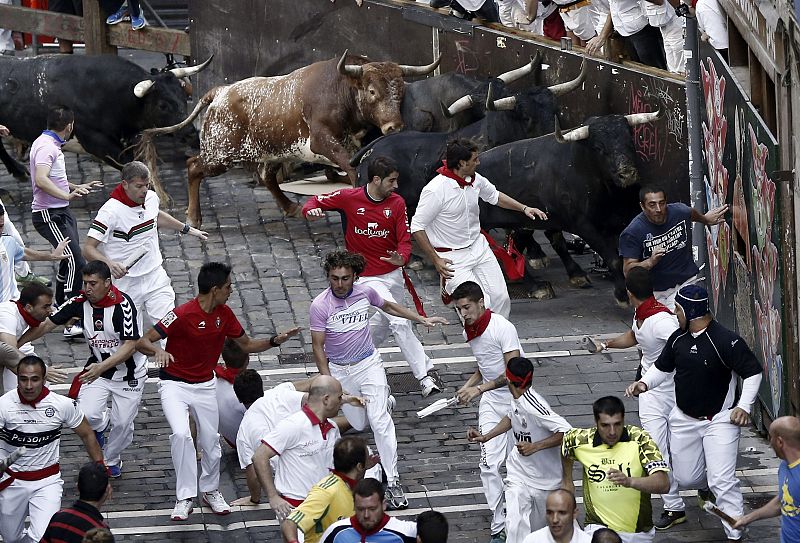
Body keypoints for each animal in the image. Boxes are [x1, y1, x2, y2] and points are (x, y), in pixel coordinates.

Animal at [0, 55, 209, 180]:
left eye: (183, 97)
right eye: (162, 105)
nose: (191, 134)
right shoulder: (96, 142)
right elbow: (128, 163)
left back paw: (19, 172)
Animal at [136, 51, 438, 227]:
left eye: (400, 90)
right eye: (373, 91)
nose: (394, 126)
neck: (342, 92)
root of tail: (220, 91)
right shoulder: (322, 141)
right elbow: (351, 169)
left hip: (269, 151)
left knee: (266, 176)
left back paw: (289, 206)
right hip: (220, 154)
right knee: (194, 167)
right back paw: (193, 216)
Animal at [476, 111, 664, 306]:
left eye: (630, 140)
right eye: (598, 148)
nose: (626, 173)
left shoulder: (620, 222)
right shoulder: (584, 226)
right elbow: (612, 258)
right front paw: (622, 295)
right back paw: (537, 286)